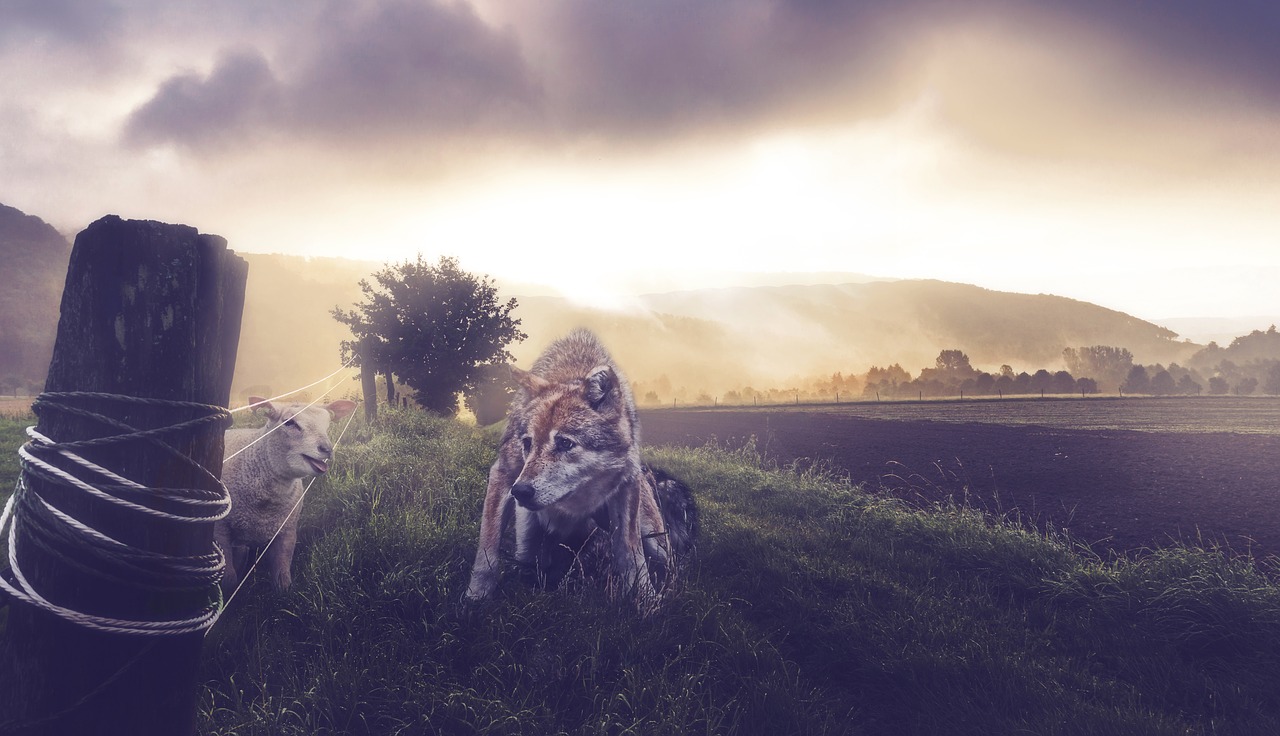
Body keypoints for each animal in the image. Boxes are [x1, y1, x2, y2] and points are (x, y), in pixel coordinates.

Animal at [215, 396, 355, 593]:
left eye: (327, 424)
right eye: (290, 423)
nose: (327, 449)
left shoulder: (287, 530)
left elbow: (282, 578)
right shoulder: (220, 530)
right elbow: (228, 579)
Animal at [465, 327, 696, 609]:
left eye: (565, 443)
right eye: (528, 443)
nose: (520, 492)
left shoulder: (627, 483)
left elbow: (630, 552)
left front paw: (646, 601)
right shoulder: (503, 474)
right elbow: (487, 551)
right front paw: (475, 600)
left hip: (652, 533)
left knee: (669, 562)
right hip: (528, 530)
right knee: (529, 560)